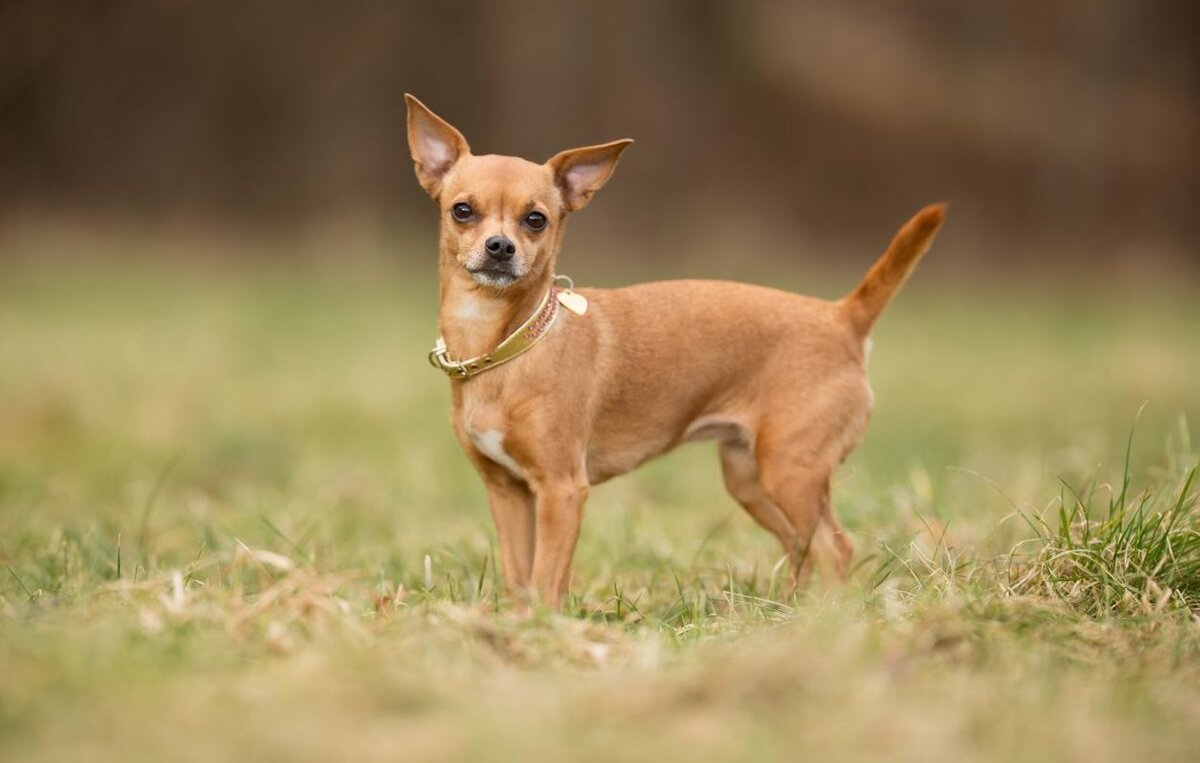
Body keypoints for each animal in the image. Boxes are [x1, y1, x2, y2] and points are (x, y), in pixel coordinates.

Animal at [405, 94, 945, 607]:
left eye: (536, 220)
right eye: (462, 210)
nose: (500, 247)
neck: (505, 345)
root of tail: (841, 317)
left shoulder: (562, 491)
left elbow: (545, 581)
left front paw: (543, 625)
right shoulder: (509, 493)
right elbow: (520, 580)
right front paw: (520, 625)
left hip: (791, 472)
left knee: (836, 549)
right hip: (751, 478)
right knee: (803, 547)